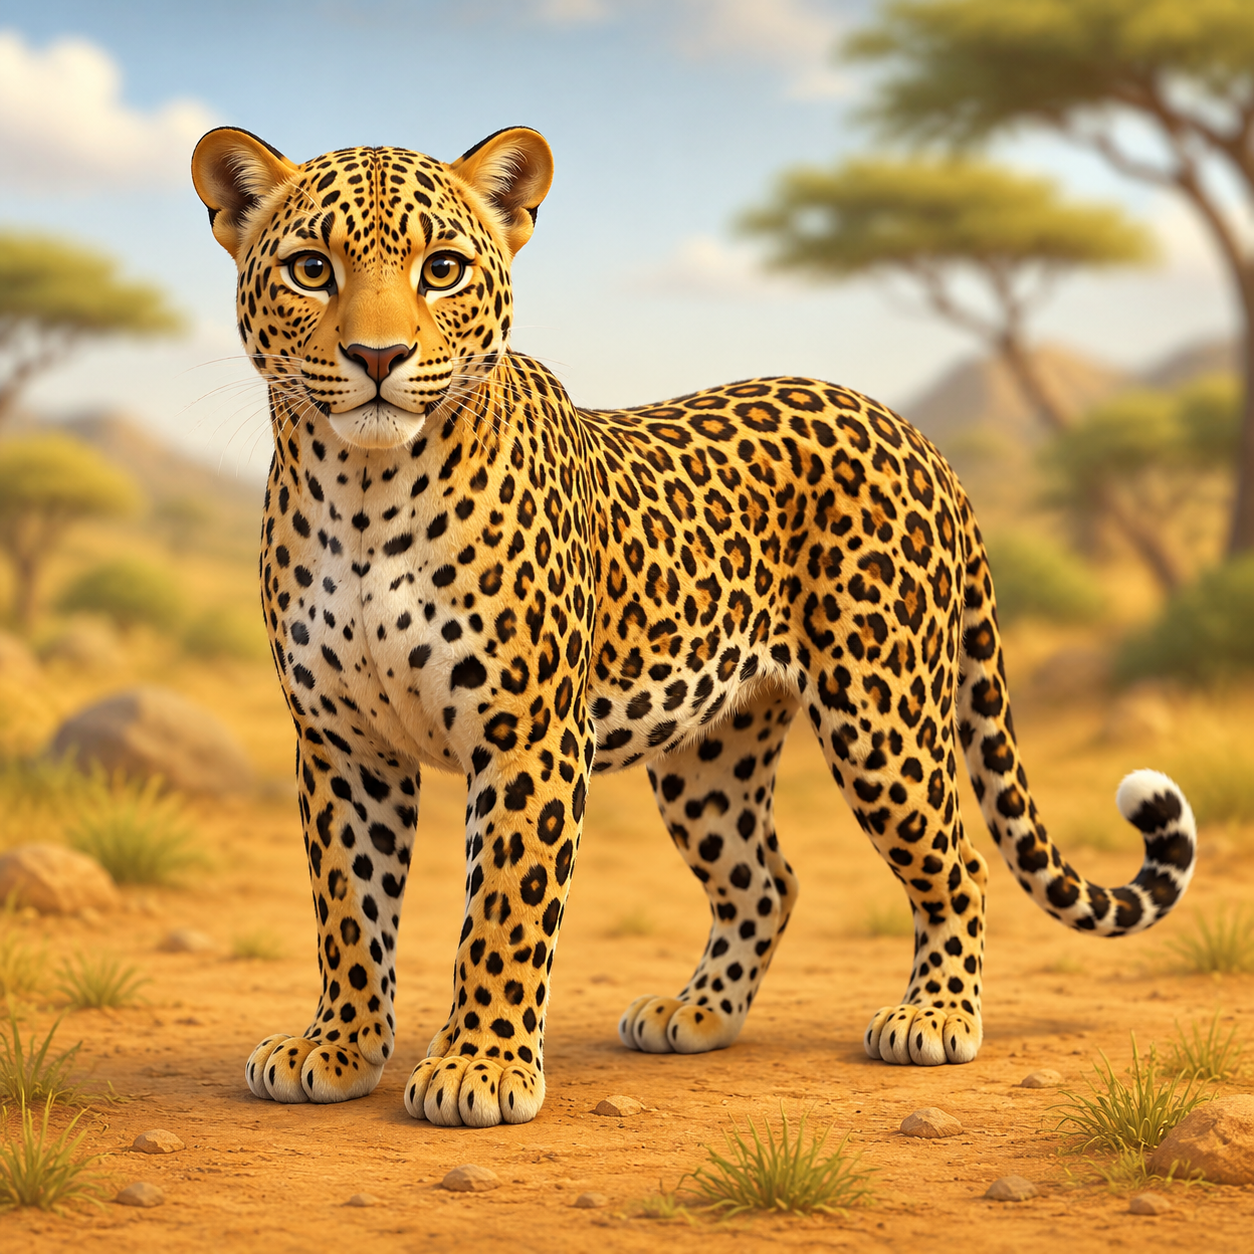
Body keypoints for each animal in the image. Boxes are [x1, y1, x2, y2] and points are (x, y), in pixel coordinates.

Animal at [190, 124, 1198, 1128]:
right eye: (312, 269)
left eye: (442, 269)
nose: (377, 356)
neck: (365, 493)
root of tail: (911, 430)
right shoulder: (342, 744)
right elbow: (348, 907)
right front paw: (338, 1046)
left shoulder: (529, 740)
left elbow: (506, 911)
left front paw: (481, 1065)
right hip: (710, 753)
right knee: (766, 879)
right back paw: (699, 1012)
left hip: (881, 715)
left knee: (959, 864)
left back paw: (935, 1016)